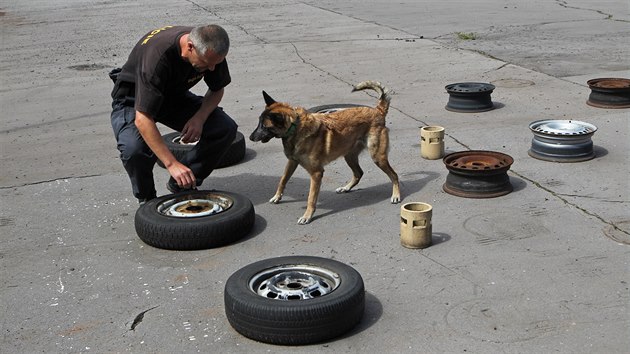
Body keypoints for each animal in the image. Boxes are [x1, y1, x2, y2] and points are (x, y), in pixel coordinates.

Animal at [251, 81, 402, 224]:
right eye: (258, 123)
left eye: (264, 126)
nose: (251, 137)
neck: (295, 127)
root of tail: (378, 111)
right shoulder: (292, 162)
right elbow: (282, 180)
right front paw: (277, 196)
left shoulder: (316, 173)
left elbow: (311, 197)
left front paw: (307, 216)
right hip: (349, 156)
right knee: (359, 173)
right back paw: (346, 188)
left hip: (377, 157)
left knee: (394, 175)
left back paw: (396, 195)